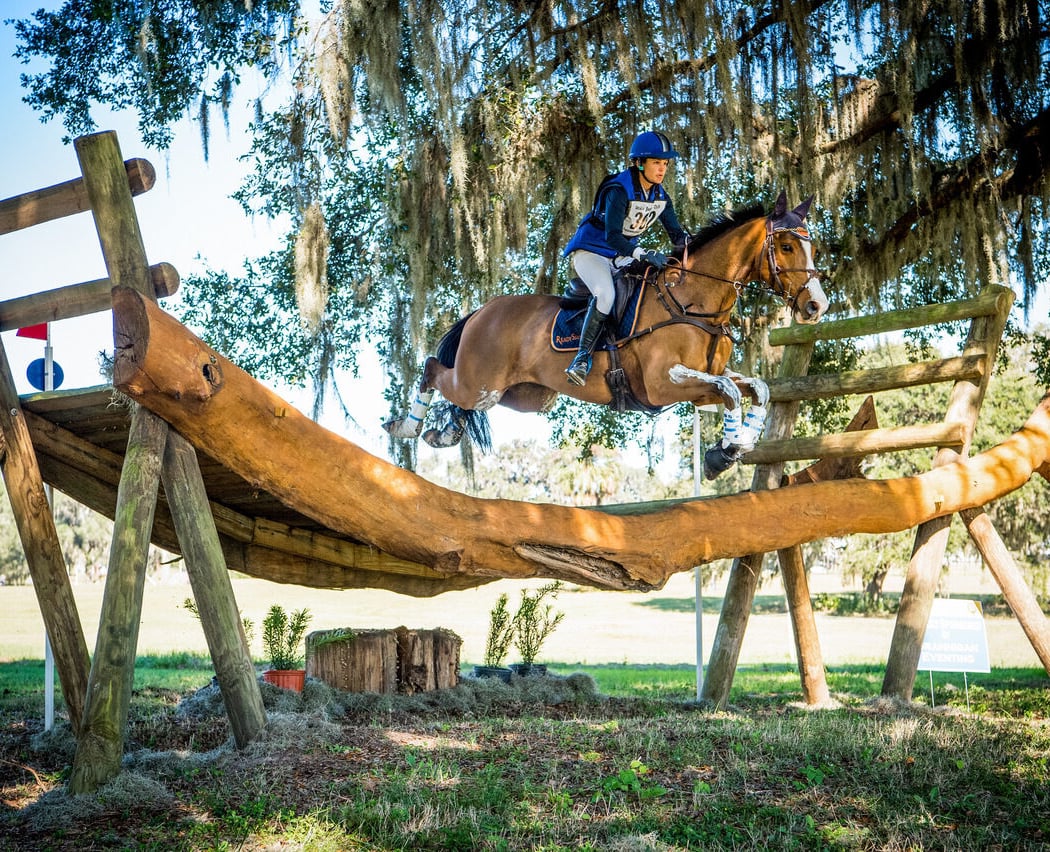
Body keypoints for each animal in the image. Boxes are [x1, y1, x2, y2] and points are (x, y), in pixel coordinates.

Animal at [384, 191, 828, 479]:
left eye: (815, 249)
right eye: (786, 247)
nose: (816, 306)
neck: (691, 301)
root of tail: (482, 310)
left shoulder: (703, 384)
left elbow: (755, 389)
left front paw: (733, 447)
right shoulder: (662, 384)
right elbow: (733, 391)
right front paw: (724, 454)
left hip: (523, 397)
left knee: (461, 398)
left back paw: (446, 431)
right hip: (482, 382)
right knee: (432, 368)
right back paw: (405, 427)